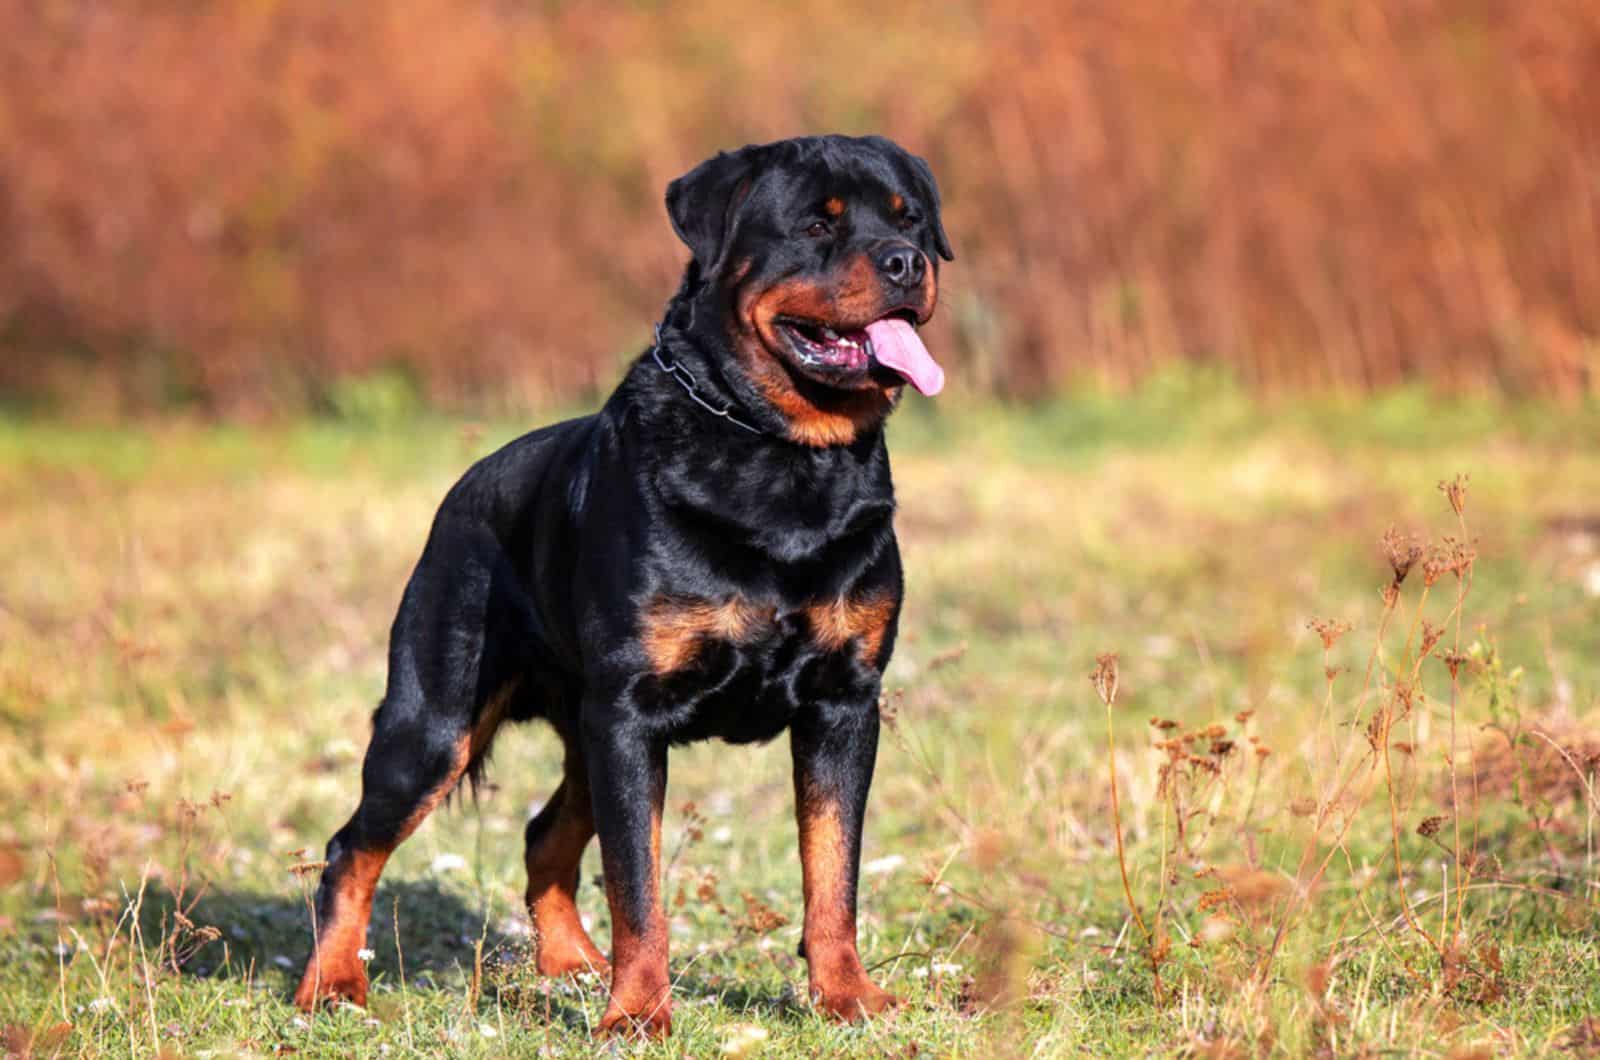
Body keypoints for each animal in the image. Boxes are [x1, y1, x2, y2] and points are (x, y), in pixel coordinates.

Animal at [292, 132, 947, 1037]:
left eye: (910, 219)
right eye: (819, 224)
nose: (907, 262)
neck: (782, 456)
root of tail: (463, 489)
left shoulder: (843, 700)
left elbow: (832, 872)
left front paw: (846, 996)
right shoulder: (632, 714)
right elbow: (639, 885)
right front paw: (637, 1014)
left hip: (580, 724)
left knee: (544, 833)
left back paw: (571, 965)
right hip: (435, 723)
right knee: (351, 847)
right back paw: (330, 984)